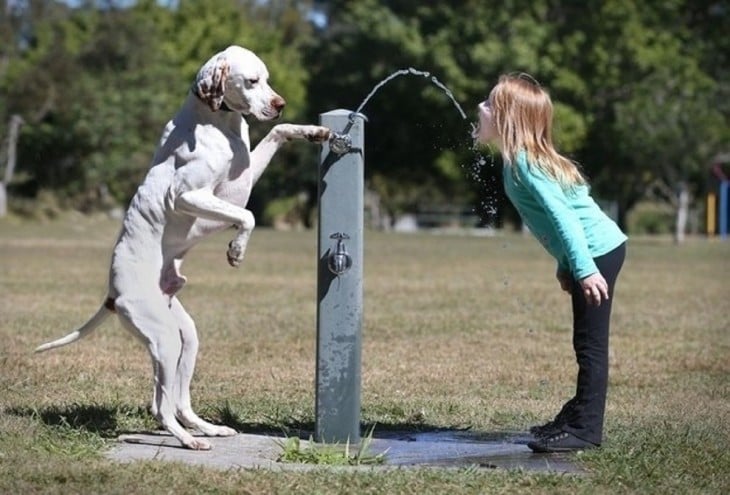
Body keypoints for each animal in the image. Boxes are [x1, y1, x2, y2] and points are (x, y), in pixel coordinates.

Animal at [34, 45, 330, 450]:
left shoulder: (244, 177)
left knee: (179, 401)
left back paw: (208, 429)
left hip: (185, 338)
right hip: (164, 340)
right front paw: (236, 250)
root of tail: (112, 294)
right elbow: (248, 215)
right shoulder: (190, 195)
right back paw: (189, 441)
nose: (280, 103)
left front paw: (313, 131)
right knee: (160, 406)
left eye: (267, 79)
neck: (218, 121)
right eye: (252, 81)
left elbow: (278, 133)